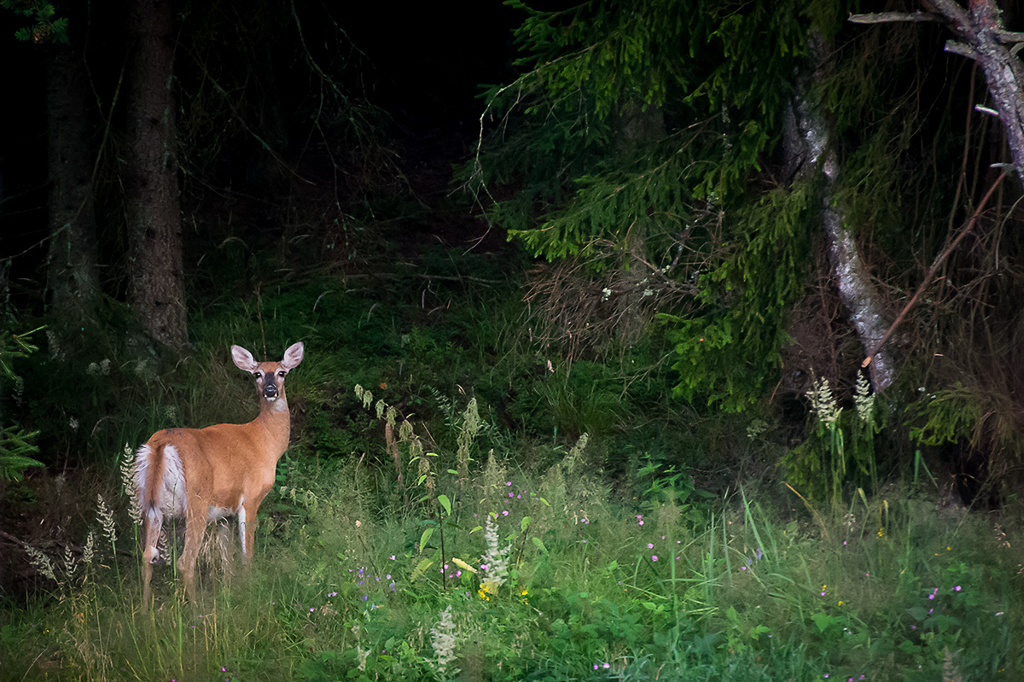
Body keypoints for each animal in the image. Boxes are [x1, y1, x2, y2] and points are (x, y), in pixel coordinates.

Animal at [134, 341, 304, 612]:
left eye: (282, 372)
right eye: (256, 374)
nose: (270, 391)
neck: (265, 442)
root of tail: (161, 446)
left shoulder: (224, 513)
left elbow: (227, 562)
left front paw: (229, 593)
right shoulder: (251, 496)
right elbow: (247, 554)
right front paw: (248, 593)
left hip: (149, 503)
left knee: (147, 557)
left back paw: (144, 614)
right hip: (197, 500)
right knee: (185, 561)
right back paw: (197, 613)